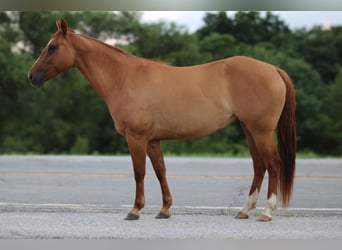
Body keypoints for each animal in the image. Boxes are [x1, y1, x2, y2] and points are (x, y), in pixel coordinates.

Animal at [27, 19, 296, 222]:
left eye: (52, 47)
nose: (32, 76)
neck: (124, 78)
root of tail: (273, 70)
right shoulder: (153, 140)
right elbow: (160, 171)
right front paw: (165, 209)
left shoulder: (136, 138)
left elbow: (139, 172)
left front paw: (135, 210)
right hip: (249, 129)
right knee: (259, 165)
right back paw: (244, 210)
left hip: (260, 131)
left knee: (273, 164)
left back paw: (266, 212)